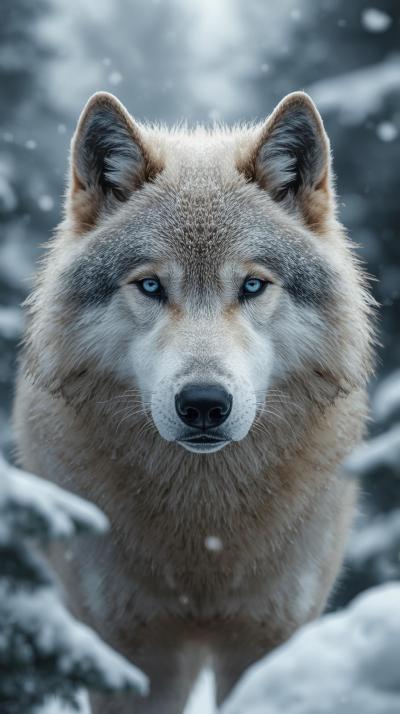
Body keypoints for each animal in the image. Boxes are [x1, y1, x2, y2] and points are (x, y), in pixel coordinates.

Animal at [13, 90, 374, 713]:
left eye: (251, 285)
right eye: (151, 285)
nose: (204, 404)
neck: (204, 540)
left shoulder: (269, 635)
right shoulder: (129, 651)